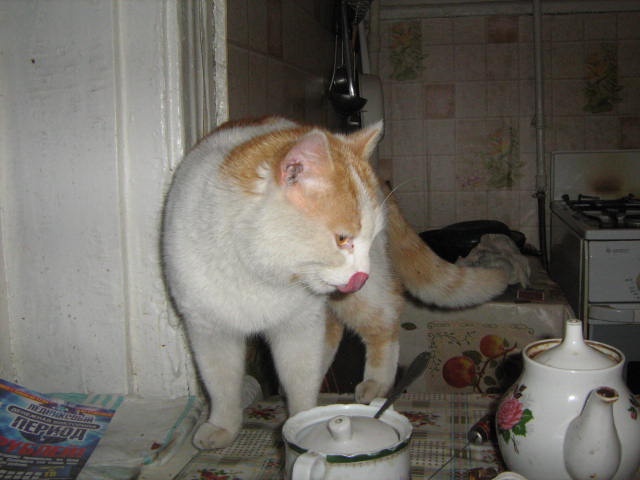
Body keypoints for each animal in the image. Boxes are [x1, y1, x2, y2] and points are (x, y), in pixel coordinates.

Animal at [162, 116, 508, 450]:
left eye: (370, 238)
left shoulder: (299, 329)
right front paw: (223, 426)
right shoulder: (209, 332)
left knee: (386, 319)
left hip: (363, 298)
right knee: (334, 331)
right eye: (342, 239)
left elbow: (300, 381)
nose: (363, 274)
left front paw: (300, 424)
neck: (258, 273)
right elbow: (221, 386)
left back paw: (377, 382)